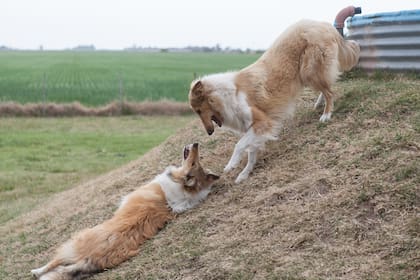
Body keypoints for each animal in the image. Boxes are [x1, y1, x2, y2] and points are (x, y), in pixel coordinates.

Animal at [31, 143, 218, 280]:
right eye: (196, 162)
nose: (196, 143)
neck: (183, 188)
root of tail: (97, 254)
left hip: (74, 241)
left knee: (54, 262)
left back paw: (36, 271)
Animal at [189, 18, 360, 183]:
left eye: (199, 110)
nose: (209, 132)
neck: (227, 95)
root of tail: (322, 24)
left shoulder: (262, 122)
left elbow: (239, 145)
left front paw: (231, 165)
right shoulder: (253, 128)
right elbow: (251, 153)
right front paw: (244, 174)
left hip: (309, 70)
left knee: (330, 93)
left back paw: (326, 115)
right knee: (327, 89)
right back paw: (319, 104)